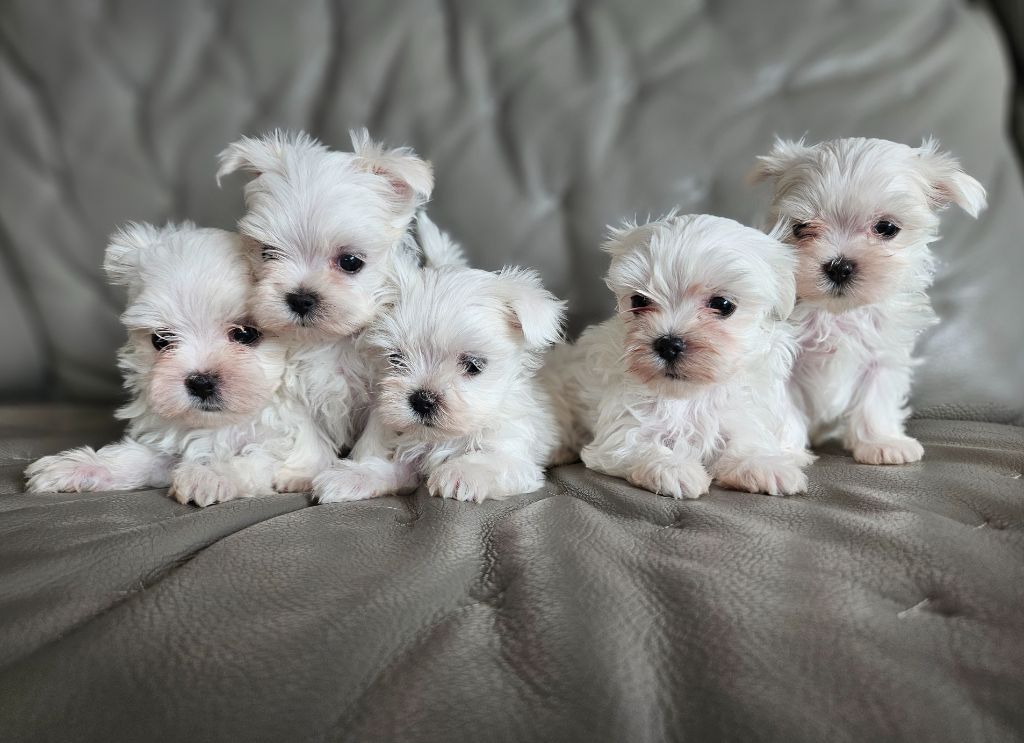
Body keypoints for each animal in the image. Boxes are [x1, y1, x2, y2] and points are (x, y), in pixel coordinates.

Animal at [23, 224, 307, 509]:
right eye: (160, 340)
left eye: (246, 334)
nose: (200, 382)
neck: (218, 424)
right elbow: (138, 459)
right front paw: (79, 467)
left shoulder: (288, 447)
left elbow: (256, 460)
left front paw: (208, 474)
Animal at [218, 128, 434, 491]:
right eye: (267, 253)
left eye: (350, 262)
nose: (301, 298)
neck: (332, 340)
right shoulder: (290, 389)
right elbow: (305, 431)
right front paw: (302, 472)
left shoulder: (384, 391)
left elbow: (376, 436)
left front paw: (360, 473)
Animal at [313, 227, 565, 505]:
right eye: (396, 359)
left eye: (473, 365)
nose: (422, 400)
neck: (443, 438)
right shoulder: (410, 454)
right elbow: (390, 468)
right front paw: (350, 477)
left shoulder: (515, 454)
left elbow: (493, 461)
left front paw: (461, 472)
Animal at [548, 212, 811, 497]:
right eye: (639, 301)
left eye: (723, 305)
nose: (668, 344)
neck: (688, 395)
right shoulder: (621, 427)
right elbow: (636, 444)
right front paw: (672, 468)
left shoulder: (744, 413)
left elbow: (747, 438)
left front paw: (763, 464)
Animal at [753, 139, 983, 462]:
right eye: (800, 228)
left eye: (886, 228)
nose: (839, 266)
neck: (838, 313)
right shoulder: (779, 358)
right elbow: (782, 408)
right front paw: (782, 453)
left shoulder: (883, 356)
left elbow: (877, 398)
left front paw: (882, 442)